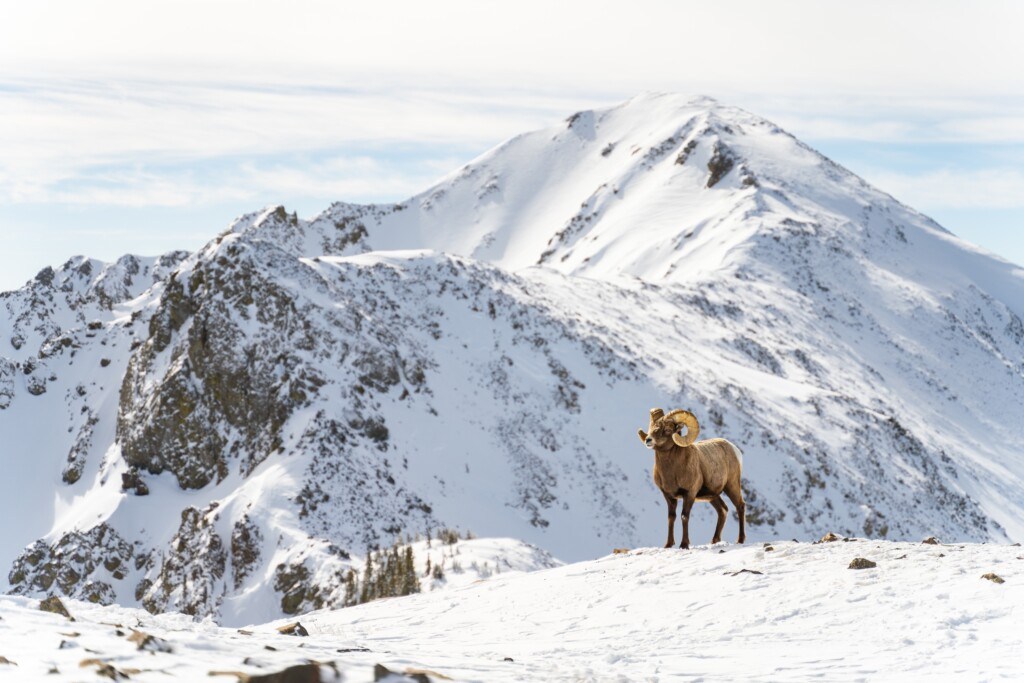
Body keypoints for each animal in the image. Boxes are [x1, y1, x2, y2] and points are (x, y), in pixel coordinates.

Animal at [637, 408, 746, 549]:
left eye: (667, 429)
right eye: (651, 426)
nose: (648, 440)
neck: (672, 471)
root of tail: (734, 449)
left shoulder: (689, 494)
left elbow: (684, 516)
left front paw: (684, 544)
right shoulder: (668, 496)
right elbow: (671, 517)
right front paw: (668, 544)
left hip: (732, 486)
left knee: (740, 506)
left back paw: (740, 540)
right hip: (712, 496)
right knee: (723, 510)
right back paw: (714, 541)